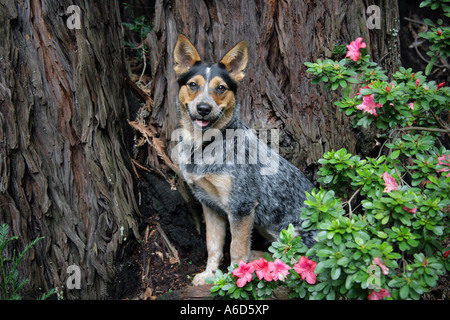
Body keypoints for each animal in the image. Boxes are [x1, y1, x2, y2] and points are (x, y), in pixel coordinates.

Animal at [172, 35, 316, 284]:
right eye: (193, 85)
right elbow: (214, 246)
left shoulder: (242, 206)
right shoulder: (209, 204)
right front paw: (210, 275)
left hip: (294, 234)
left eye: (221, 88)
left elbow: (236, 249)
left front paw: (234, 279)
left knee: (294, 260)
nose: (203, 108)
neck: (204, 147)